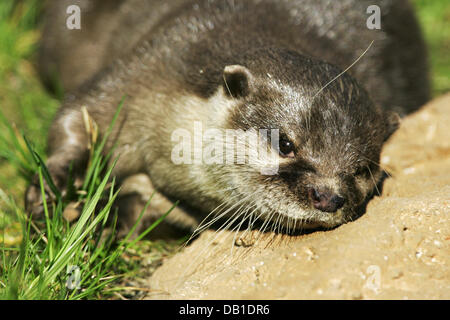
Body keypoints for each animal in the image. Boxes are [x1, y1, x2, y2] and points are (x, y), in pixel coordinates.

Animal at [27, 0, 428, 235]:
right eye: (285, 143)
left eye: (362, 170)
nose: (328, 197)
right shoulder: (153, 64)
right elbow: (80, 112)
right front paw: (53, 189)